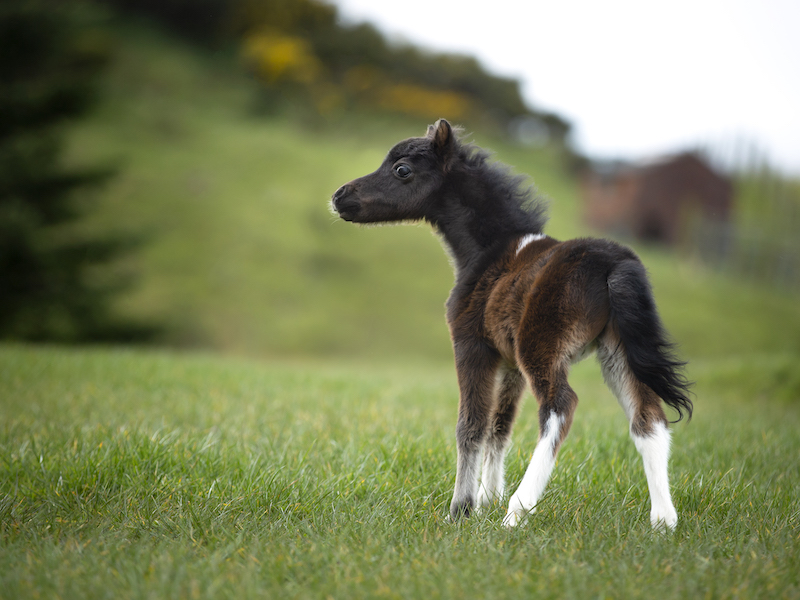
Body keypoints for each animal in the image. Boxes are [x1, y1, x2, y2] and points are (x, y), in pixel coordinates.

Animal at [330, 119, 692, 529]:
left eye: (401, 170)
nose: (340, 196)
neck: (488, 252)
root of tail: (613, 263)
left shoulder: (472, 346)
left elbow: (470, 426)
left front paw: (462, 509)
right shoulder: (509, 362)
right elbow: (499, 427)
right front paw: (487, 498)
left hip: (542, 346)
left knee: (560, 407)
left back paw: (518, 510)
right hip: (614, 349)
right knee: (648, 419)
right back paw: (663, 520)